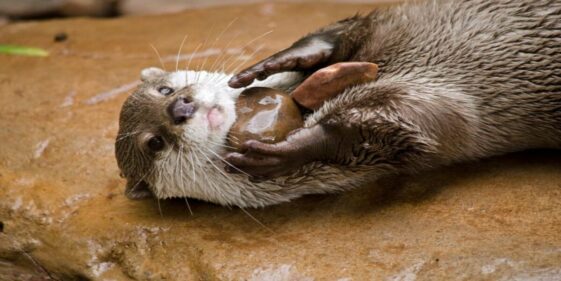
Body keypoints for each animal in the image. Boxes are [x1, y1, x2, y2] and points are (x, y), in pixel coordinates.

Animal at [115, 0, 560, 206]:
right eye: (154, 143)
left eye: (165, 91)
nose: (180, 108)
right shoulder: (428, 107)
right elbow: (411, 127)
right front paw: (290, 149)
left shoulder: (375, 28)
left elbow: (342, 33)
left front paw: (269, 65)